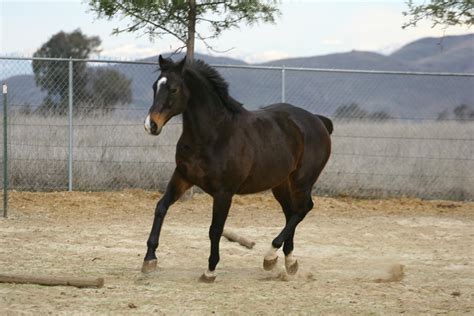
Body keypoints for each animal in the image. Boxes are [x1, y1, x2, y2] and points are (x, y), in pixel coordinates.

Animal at [143, 56, 332, 282]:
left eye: (173, 89)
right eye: (155, 86)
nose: (151, 125)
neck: (214, 135)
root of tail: (318, 120)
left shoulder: (224, 192)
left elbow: (215, 229)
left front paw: (210, 270)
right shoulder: (182, 177)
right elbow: (161, 207)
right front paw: (149, 259)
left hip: (302, 180)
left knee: (303, 209)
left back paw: (270, 256)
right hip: (280, 184)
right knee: (291, 212)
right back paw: (289, 262)